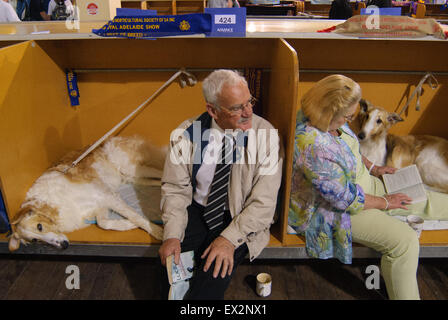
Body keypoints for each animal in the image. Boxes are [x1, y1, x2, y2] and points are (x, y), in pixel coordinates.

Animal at [7, 136, 169, 251]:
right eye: (34, 240)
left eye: (39, 226)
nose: (64, 246)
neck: (54, 205)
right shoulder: (100, 205)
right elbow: (104, 224)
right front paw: (129, 225)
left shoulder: (107, 196)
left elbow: (136, 216)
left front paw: (156, 231)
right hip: (133, 178)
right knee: (161, 180)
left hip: (132, 169)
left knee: (162, 171)